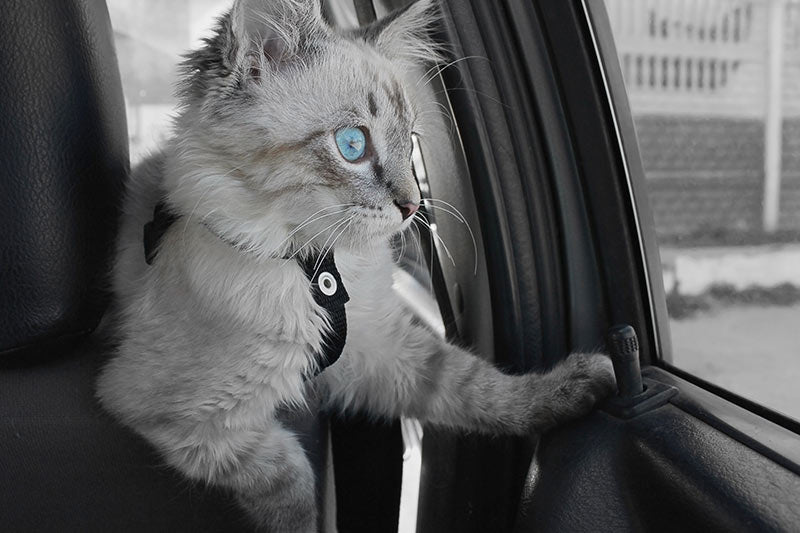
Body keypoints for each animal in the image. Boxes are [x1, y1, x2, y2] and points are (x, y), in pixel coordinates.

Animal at [95, 1, 620, 528]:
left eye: (410, 143)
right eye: (353, 145)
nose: (413, 207)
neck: (316, 265)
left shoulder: (380, 348)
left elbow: (478, 387)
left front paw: (576, 389)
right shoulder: (185, 418)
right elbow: (292, 481)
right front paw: (307, 524)